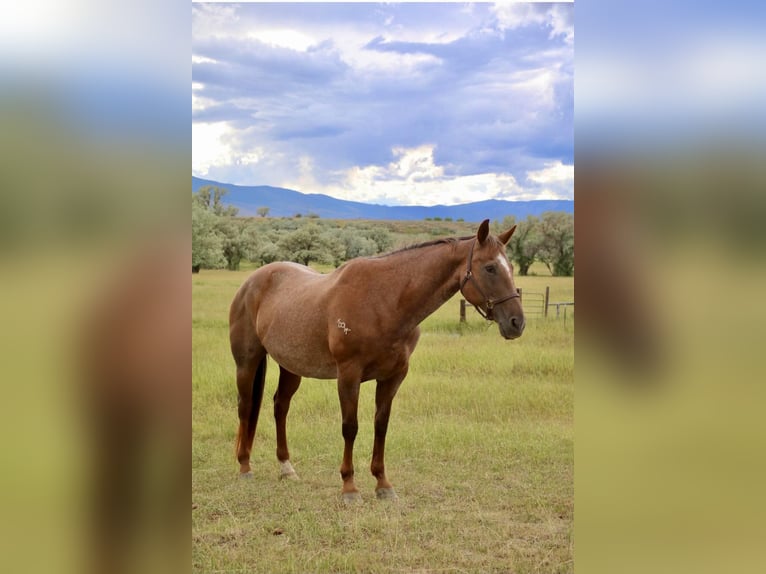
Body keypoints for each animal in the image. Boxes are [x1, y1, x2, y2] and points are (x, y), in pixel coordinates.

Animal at [229, 219, 525, 502]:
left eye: (510, 266)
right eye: (490, 268)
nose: (517, 323)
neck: (385, 301)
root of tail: (251, 282)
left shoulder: (393, 376)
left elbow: (381, 426)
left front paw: (383, 484)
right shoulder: (349, 375)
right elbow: (350, 428)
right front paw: (349, 487)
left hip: (291, 366)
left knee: (281, 407)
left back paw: (286, 468)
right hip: (247, 362)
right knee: (245, 406)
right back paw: (244, 467)